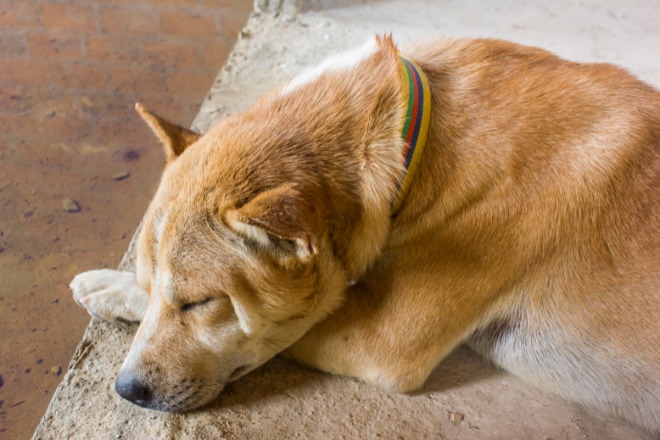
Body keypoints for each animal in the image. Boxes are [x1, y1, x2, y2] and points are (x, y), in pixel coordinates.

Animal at [69, 35, 656, 434]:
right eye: (159, 291)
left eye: (201, 303)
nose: (125, 390)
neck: (414, 146)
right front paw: (113, 284)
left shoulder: (384, 340)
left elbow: (302, 326)